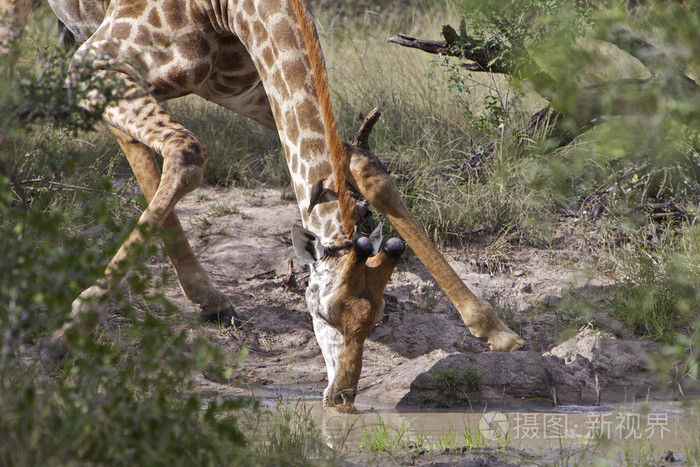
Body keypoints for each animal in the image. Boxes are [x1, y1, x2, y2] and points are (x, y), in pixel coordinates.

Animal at [1, 0, 524, 414]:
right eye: (323, 313)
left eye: (376, 318)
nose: (342, 398)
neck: (229, 10)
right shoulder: (96, 59)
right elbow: (190, 153)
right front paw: (63, 335)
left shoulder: (247, 87)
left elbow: (365, 168)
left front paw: (496, 330)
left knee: (131, 139)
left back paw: (210, 298)